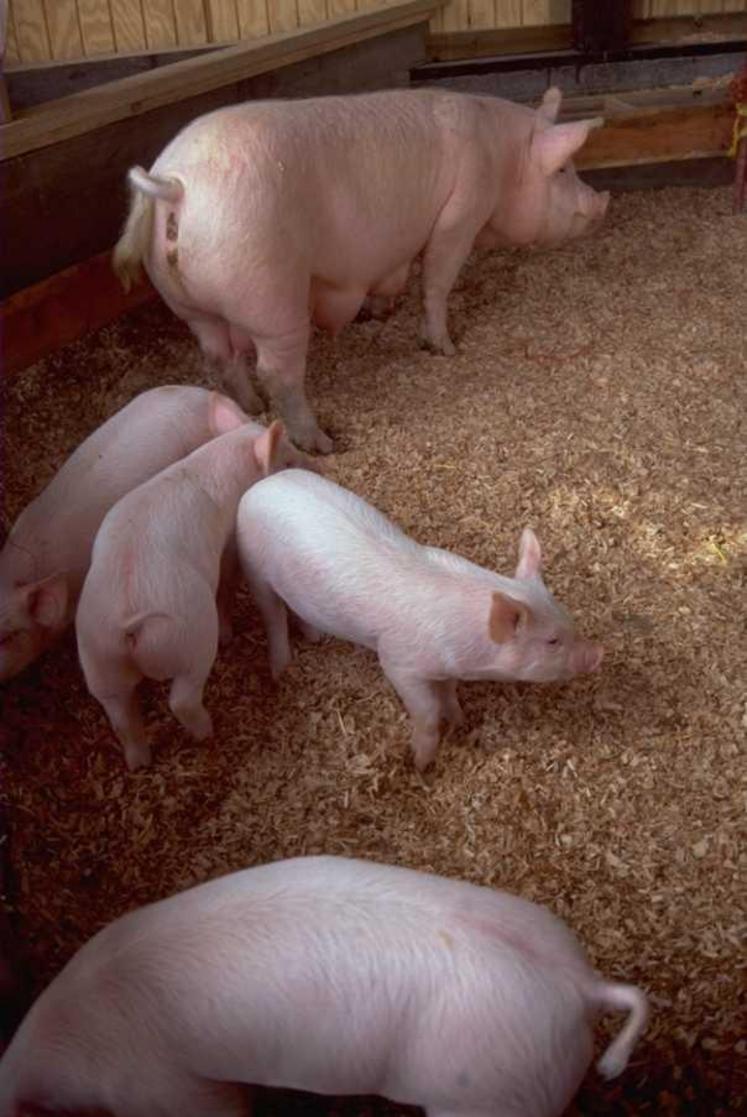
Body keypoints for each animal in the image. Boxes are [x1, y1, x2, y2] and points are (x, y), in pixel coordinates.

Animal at [75, 414, 309, 771]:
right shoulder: (229, 541)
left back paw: (140, 763)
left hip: (98, 661)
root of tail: (130, 623)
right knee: (182, 700)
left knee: (122, 716)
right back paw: (209, 731)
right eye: (288, 461)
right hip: (190, 639)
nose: (316, 466)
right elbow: (227, 582)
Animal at [113, 87, 609, 453]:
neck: (502, 159)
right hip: (269, 292)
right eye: (562, 170)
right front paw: (444, 348)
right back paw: (320, 442)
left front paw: (379, 312)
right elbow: (437, 280)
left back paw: (250, 408)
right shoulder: (462, 211)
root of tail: (175, 185)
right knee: (277, 370)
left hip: (186, 301)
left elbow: (393, 275)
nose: (600, 203)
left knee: (218, 353)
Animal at [237, 470, 603, 771]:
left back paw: (314, 637)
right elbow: (426, 711)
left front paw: (460, 721)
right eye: (552, 640)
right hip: (252, 564)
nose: (598, 652)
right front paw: (420, 764)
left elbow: (448, 693)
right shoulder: (398, 661)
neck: (468, 646)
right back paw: (281, 670)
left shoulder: (446, 668)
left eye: (569, 621)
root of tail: (262, 483)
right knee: (273, 614)